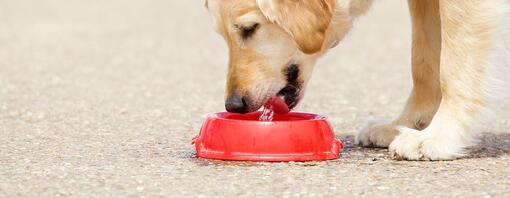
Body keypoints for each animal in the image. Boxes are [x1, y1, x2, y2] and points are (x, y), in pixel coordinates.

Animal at [204, 0, 510, 160]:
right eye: (222, 35)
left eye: (249, 29)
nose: (234, 105)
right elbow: (423, 62)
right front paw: (406, 124)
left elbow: (452, 68)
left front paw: (439, 135)